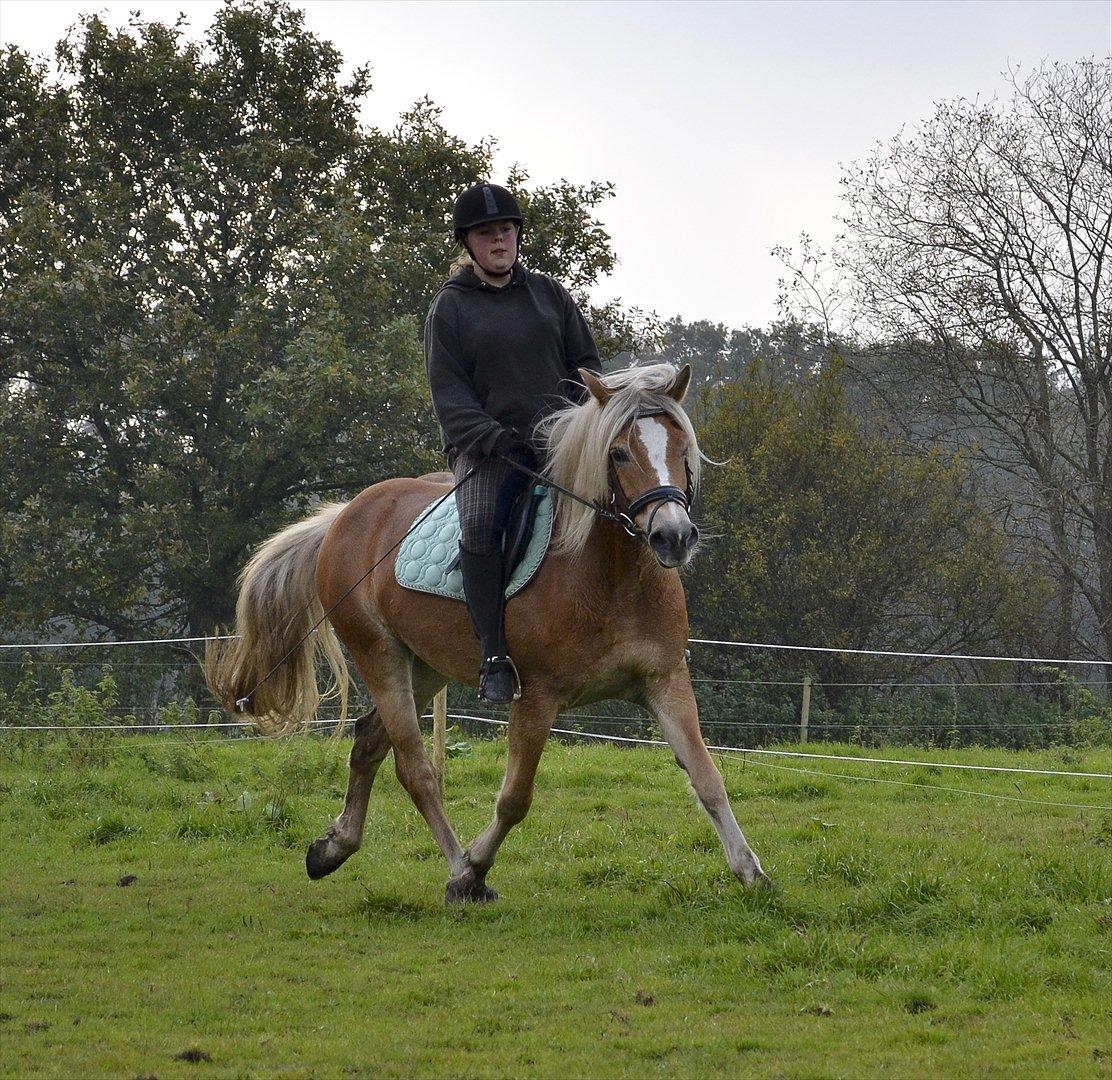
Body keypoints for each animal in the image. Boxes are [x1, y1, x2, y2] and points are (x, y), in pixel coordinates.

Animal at [204, 362, 769, 903]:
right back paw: (457, 870)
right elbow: (515, 798)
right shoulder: (536, 696)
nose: (673, 536)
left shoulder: (665, 682)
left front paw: (752, 873)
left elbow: (708, 778)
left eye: (682, 448)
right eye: (620, 453)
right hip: (380, 655)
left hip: (425, 667)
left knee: (367, 742)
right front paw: (474, 866)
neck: (610, 576)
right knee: (416, 770)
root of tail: (346, 514)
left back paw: (332, 848)